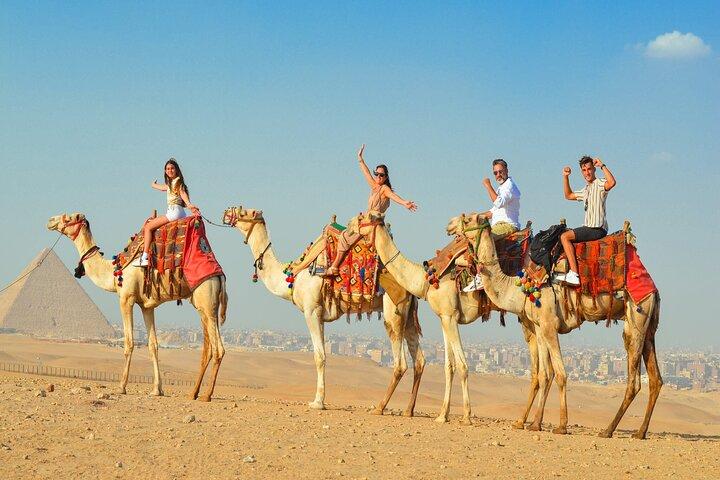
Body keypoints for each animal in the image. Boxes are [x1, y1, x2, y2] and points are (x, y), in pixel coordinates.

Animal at [47, 213, 228, 402]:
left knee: (218, 349)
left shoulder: (126, 299)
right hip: (204, 306)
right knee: (208, 348)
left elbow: (129, 342)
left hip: (206, 299)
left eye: (68, 218)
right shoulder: (147, 306)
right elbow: (153, 345)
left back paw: (206, 395)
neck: (114, 271)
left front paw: (121, 387)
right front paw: (157, 389)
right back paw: (193, 393)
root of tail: (220, 276)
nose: (51, 221)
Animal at [223, 206, 424, 414]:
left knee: (400, 363)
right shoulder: (320, 314)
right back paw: (408, 410)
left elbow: (319, 356)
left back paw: (379, 407)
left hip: (393, 311)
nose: (227, 212)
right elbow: (323, 355)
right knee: (420, 360)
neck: (293, 275)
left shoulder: (311, 310)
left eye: (244, 212)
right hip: (409, 314)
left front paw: (318, 402)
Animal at [361, 212, 548, 426]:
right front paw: (443, 414)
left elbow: (462, 365)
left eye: (363, 218)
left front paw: (466, 415)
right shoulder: (444, 318)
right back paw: (526, 421)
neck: (426, 278)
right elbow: (448, 366)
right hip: (528, 320)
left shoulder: (450, 316)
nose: (351, 227)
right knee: (539, 368)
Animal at [463, 213, 661, 438]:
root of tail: (653, 286)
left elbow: (560, 374)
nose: (452, 228)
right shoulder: (540, 327)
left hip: (637, 313)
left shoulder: (549, 325)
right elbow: (544, 374)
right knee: (655, 378)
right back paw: (640, 432)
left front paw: (561, 425)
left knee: (634, 379)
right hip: (648, 323)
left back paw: (608, 430)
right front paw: (535, 423)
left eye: (468, 220)